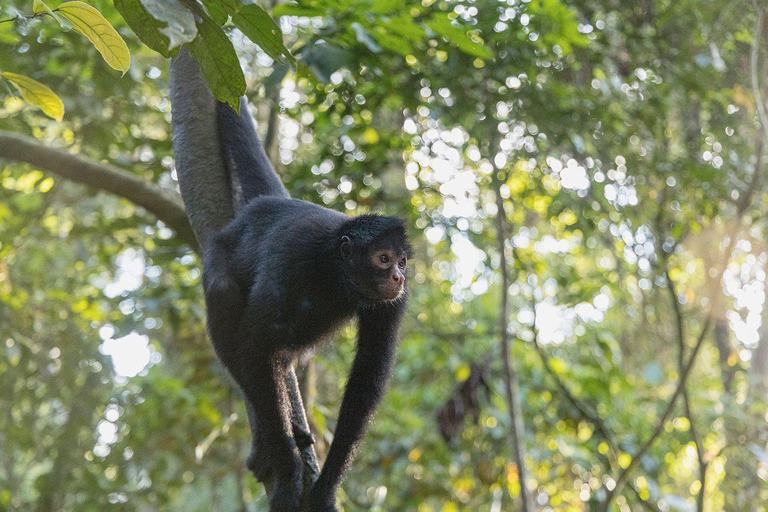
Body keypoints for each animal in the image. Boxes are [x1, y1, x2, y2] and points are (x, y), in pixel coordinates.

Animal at [201, 98, 412, 510]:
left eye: (401, 261)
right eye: (383, 259)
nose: (398, 277)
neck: (335, 271)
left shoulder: (394, 302)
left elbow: (367, 376)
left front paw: (326, 488)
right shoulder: (292, 258)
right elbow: (254, 347)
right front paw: (288, 473)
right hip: (220, 248)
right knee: (224, 295)